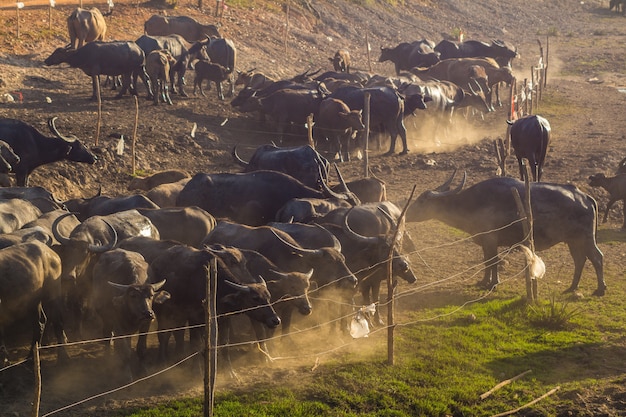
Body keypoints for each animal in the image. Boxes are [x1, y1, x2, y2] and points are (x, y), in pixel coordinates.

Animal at [404, 171, 604, 294]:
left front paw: (493, 283)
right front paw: (484, 281)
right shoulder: (487, 242)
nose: (406, 214)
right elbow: (487, 261)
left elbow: (492, 261)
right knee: (580, 260)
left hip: (586, 239)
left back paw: (600, 289)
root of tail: (585, 197)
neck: (472, 204)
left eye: (421, 201)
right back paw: (572, 287)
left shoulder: (491, 240)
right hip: (573, 241)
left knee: (597, 258)